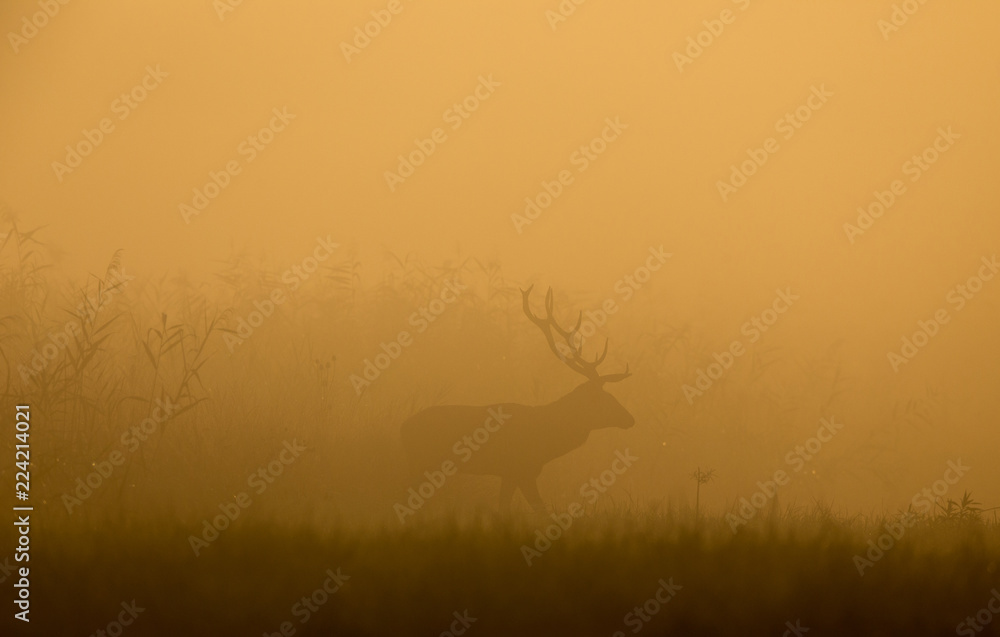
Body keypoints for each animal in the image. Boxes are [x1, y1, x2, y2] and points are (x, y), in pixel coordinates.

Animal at [399, 285, 634, 514]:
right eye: (604, 397)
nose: (630, 418)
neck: (548, 438)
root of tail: (403, 428)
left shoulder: (510, 474)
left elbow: (505, 508)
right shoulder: (521, 469)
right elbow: (538, 510)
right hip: (421, 462)